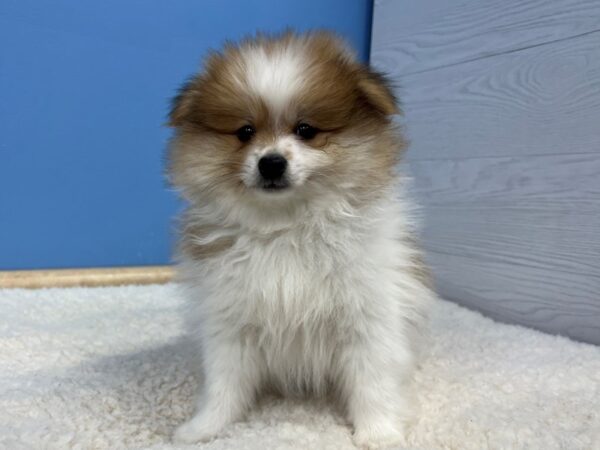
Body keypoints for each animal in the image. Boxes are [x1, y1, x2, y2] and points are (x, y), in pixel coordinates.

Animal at [166, 30, 434, 446]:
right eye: (245, 132)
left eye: (306, 130)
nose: (271, 162)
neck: (286, 227)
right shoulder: (230, 322)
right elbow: (224, 385)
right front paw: (204, 428)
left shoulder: (368, 317)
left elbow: (372, 382)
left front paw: (378, 433)